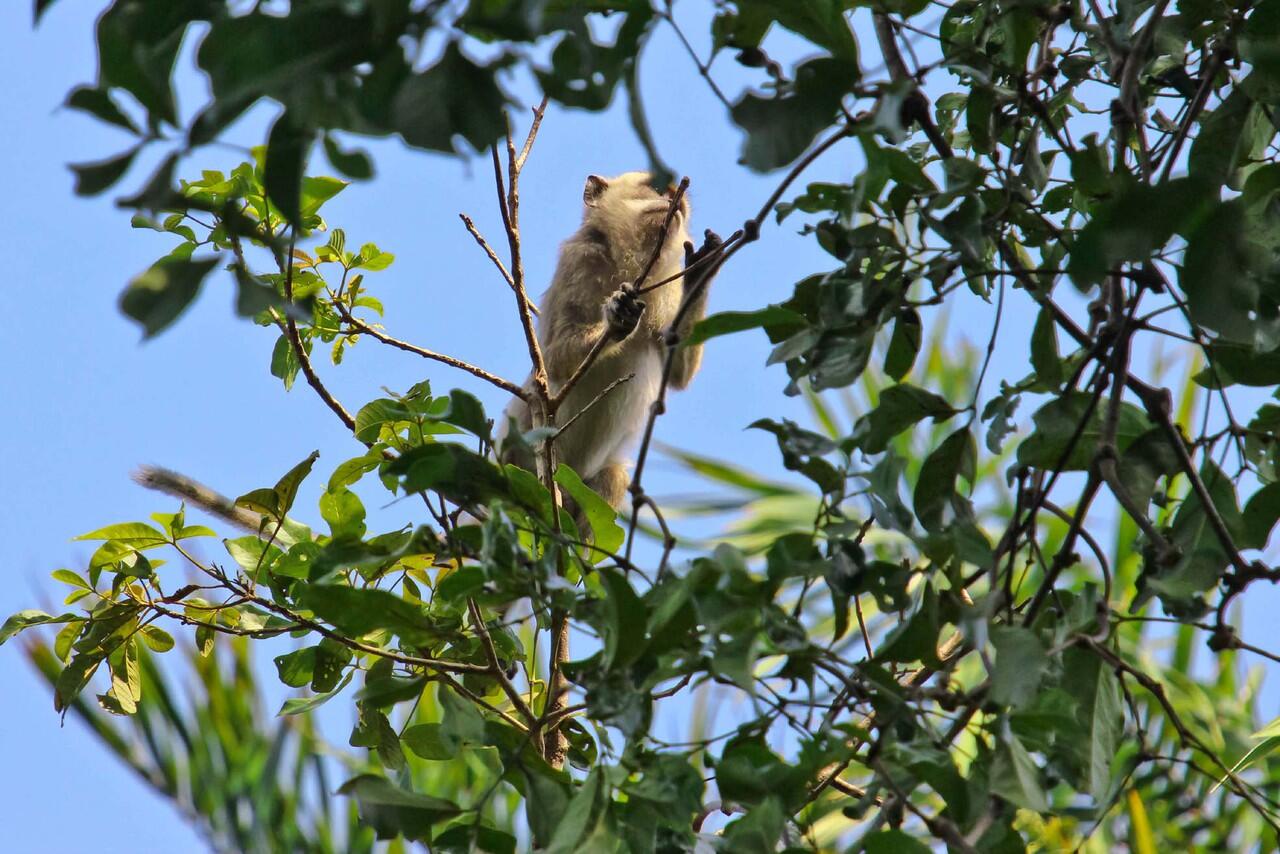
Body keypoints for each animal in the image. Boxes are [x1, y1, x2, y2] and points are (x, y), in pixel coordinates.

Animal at [496, 170, 721, 512]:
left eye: (677, 200)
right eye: (657, 189)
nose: (673, 204)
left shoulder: (666, 289)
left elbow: (677, 371)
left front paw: (700, 272)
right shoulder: (579, 261)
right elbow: (554, 360)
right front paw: (617, 318)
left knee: (613, 477)